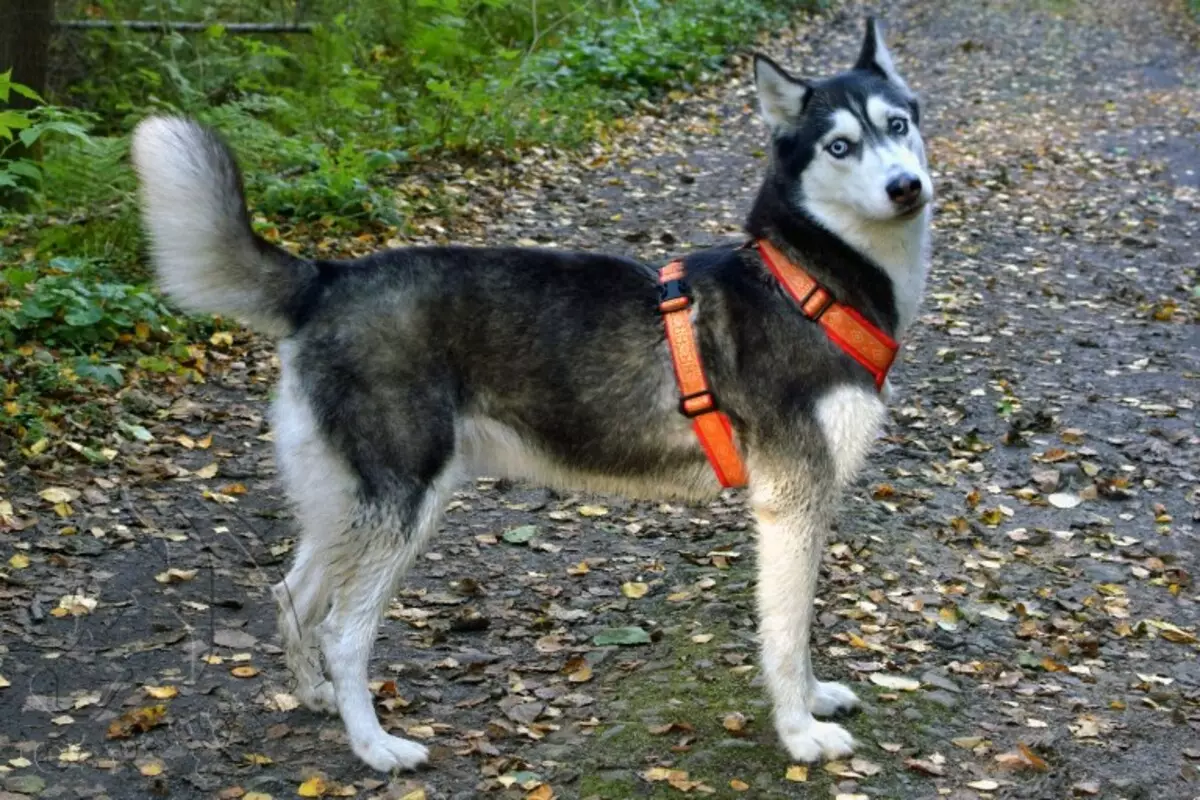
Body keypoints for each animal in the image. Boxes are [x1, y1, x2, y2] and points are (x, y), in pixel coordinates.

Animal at [133, 17, 936, 767]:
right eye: (840, 146)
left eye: (898, 125)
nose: (907, 186)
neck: (808, 279)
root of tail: (329, 277)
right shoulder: (791, 501)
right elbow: (786, 632)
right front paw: (800, 733)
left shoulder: (809, 501)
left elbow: (798, 632)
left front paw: (813, 699)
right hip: (403, 506)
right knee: (342, 631)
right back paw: (375, 746)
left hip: (345, 501)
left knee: (293, 596)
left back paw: (314, 696)